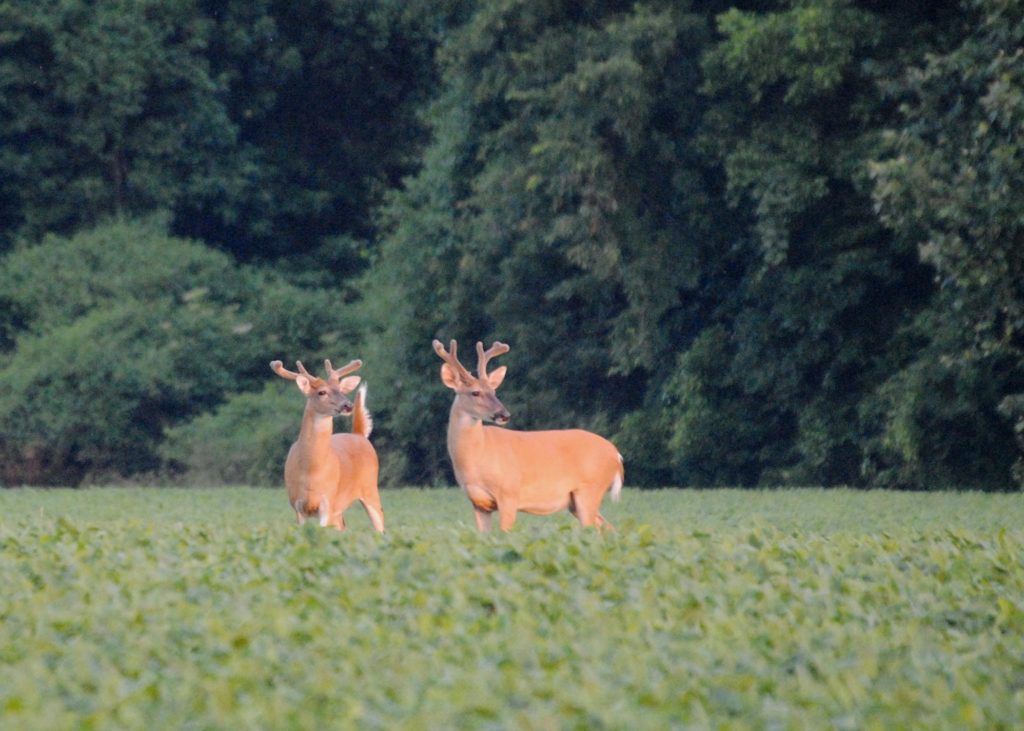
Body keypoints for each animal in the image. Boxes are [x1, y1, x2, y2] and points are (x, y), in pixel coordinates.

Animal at [268, 358, 385, 528]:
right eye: (321, 392)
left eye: (341, 390)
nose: (348, 405)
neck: (311, 473)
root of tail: (359, 434)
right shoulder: (297, 506)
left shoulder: (328, 502)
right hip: (340, 510)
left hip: (370, 489)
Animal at [432, 335, 622, 528]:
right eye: (475, 392)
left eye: (494, 391)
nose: (504, 414)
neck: (476, 457)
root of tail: (616, 455)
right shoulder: (479, 504)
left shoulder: (509, 493)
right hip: (575, 501)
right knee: (607, 528)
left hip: (589, 489)